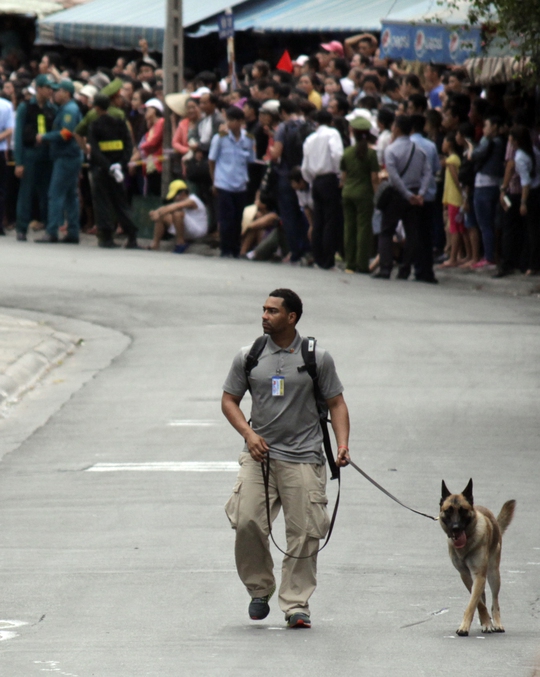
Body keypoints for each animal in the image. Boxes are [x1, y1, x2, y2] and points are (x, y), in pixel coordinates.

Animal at [438, 478, 516, 636]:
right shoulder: (466, 575)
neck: (466, 544)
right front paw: (485, 621)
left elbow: (473, 602)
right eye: (448, 511)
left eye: (463, 511)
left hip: (493, 574)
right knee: (483, 597)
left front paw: (465, 627)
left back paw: (497, 623)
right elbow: (478, 602)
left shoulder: (479, 575)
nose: (456, 528)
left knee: (495, 600)